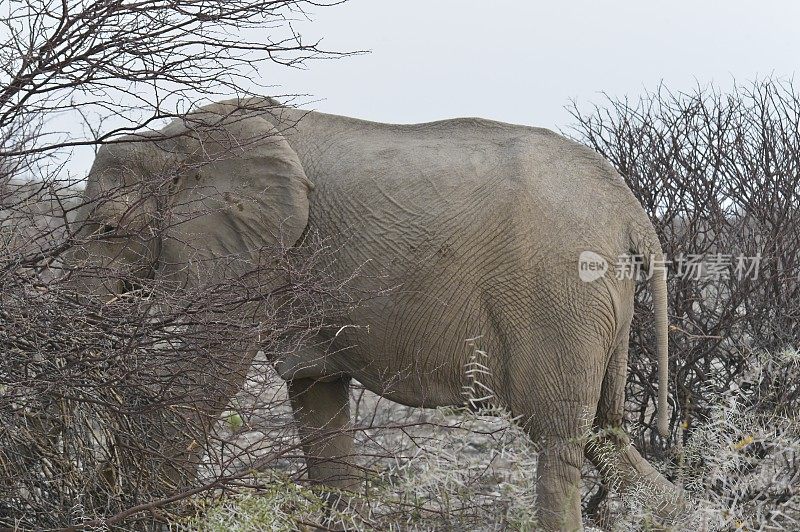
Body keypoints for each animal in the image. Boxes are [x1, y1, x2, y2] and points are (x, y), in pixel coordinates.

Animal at [70, 97, 680, 528]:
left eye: (108, 228)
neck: (172, 138)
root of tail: (631, 212)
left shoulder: (256, 256)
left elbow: (204, 375)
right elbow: (316, 397)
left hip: (558, 295)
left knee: (557, 440)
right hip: (596, 303)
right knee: (607, 437)